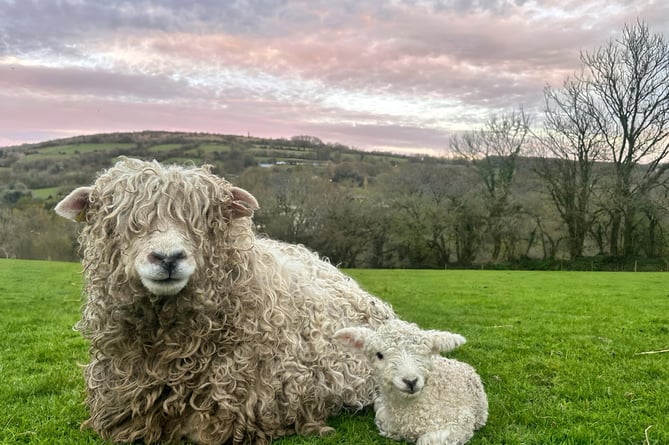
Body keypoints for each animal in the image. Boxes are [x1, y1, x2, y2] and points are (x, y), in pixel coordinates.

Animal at [334, 320, 486, 444]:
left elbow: (427, 440)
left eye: (425, 353)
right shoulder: (385, 416)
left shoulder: (461, 422)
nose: (411, 381)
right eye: (379, 355)